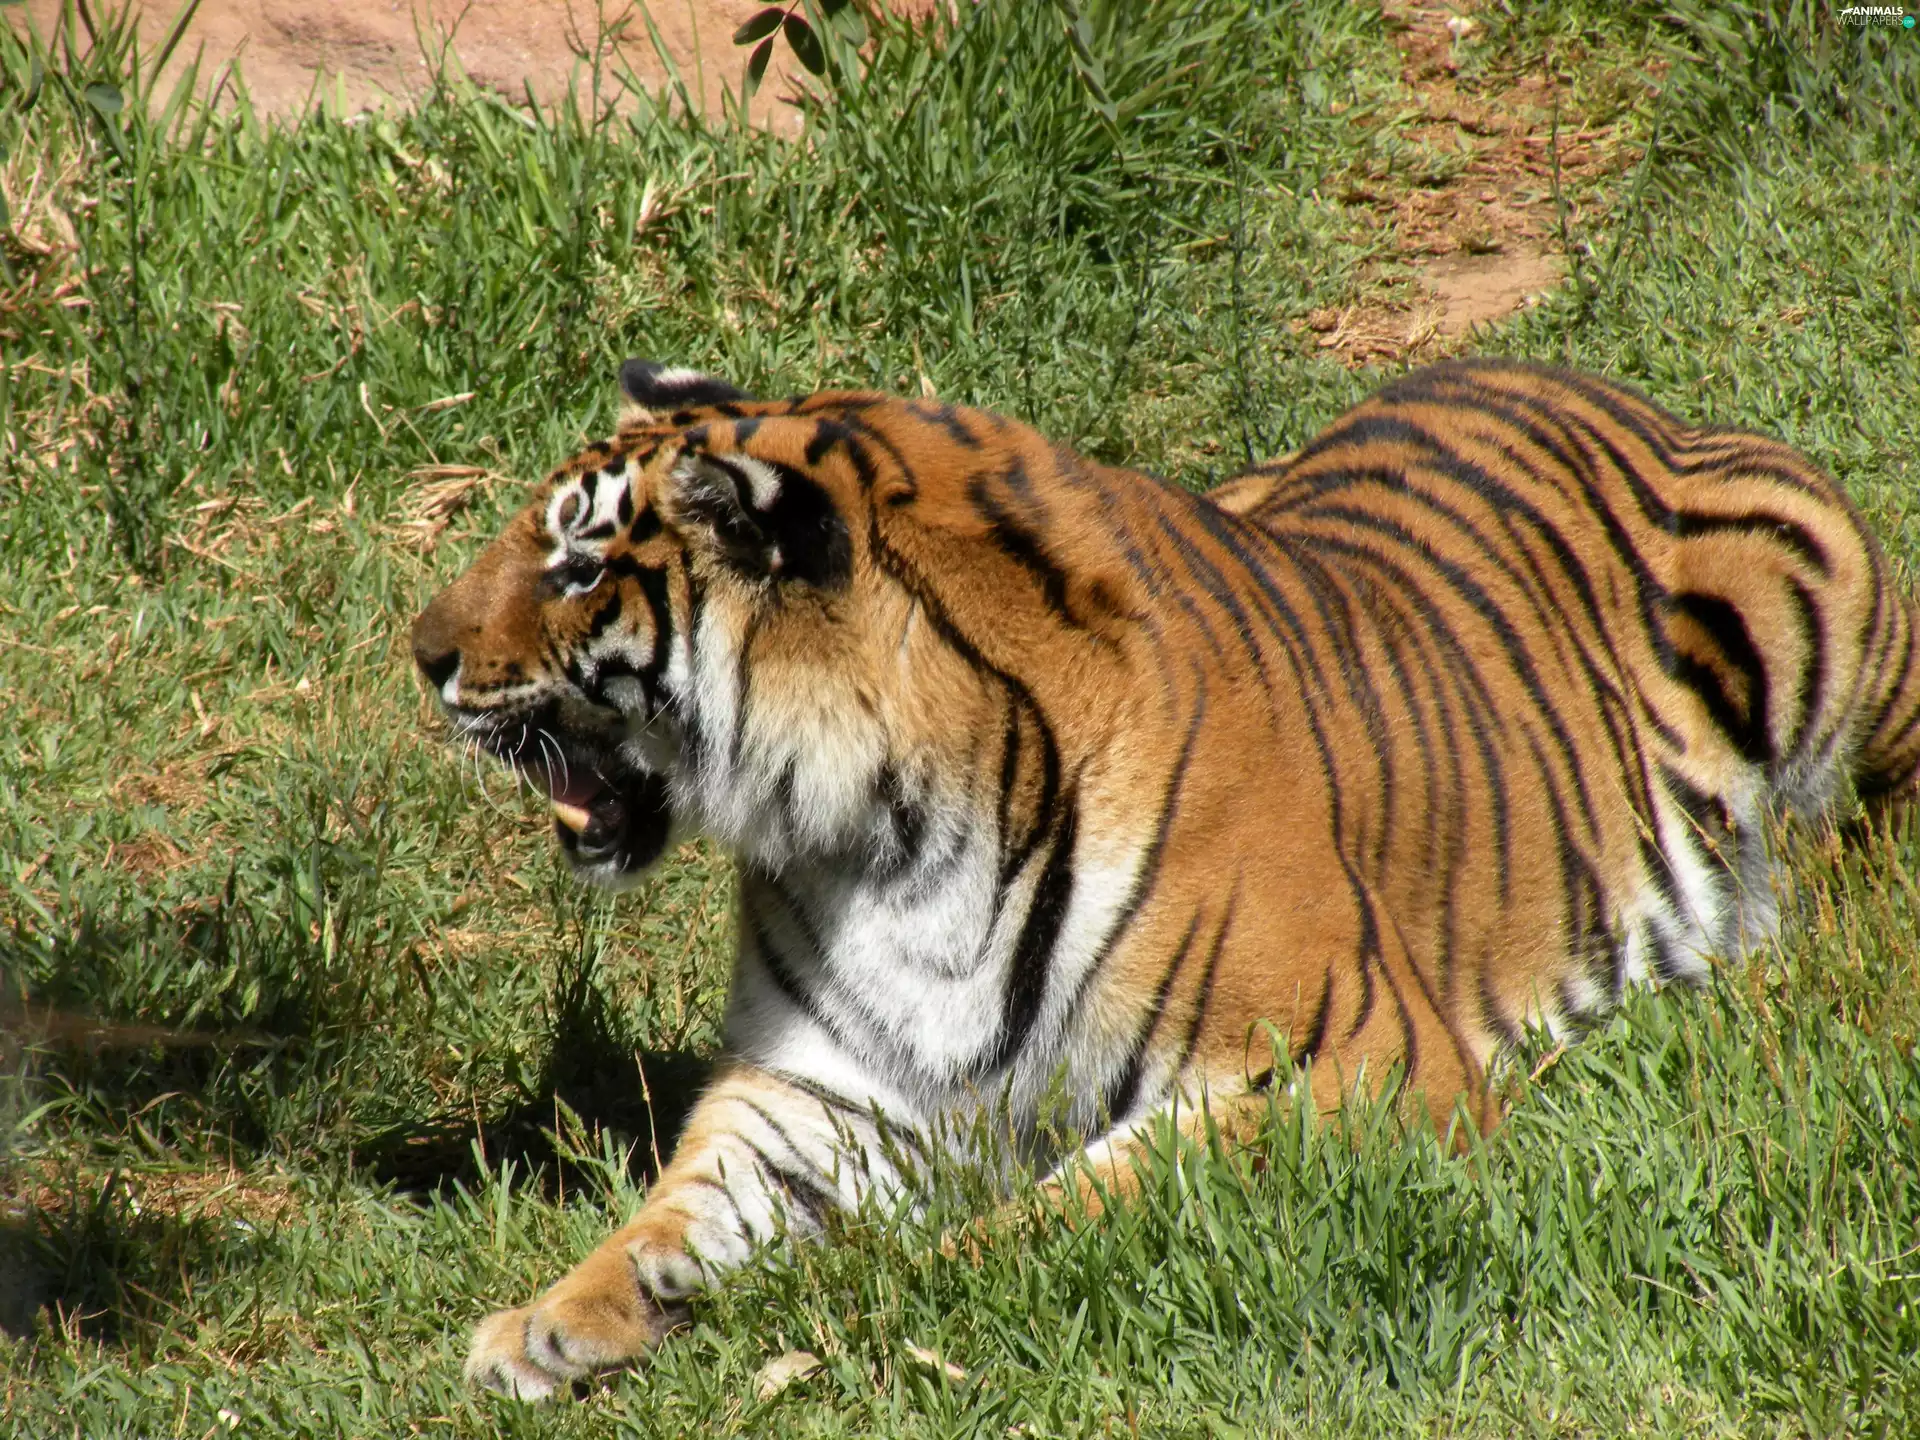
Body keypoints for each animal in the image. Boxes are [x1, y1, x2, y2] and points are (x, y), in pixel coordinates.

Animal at [410, 355, 1920, 1398]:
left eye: (579, 560)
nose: (419, 653)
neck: (878, 833)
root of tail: (1585, 374)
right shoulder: (824, 1089)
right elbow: (683, 1205)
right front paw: (550, 1323)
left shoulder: (1348, 1058)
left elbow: (1070, 1208)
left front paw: (890, 1296)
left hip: (1816, 617)